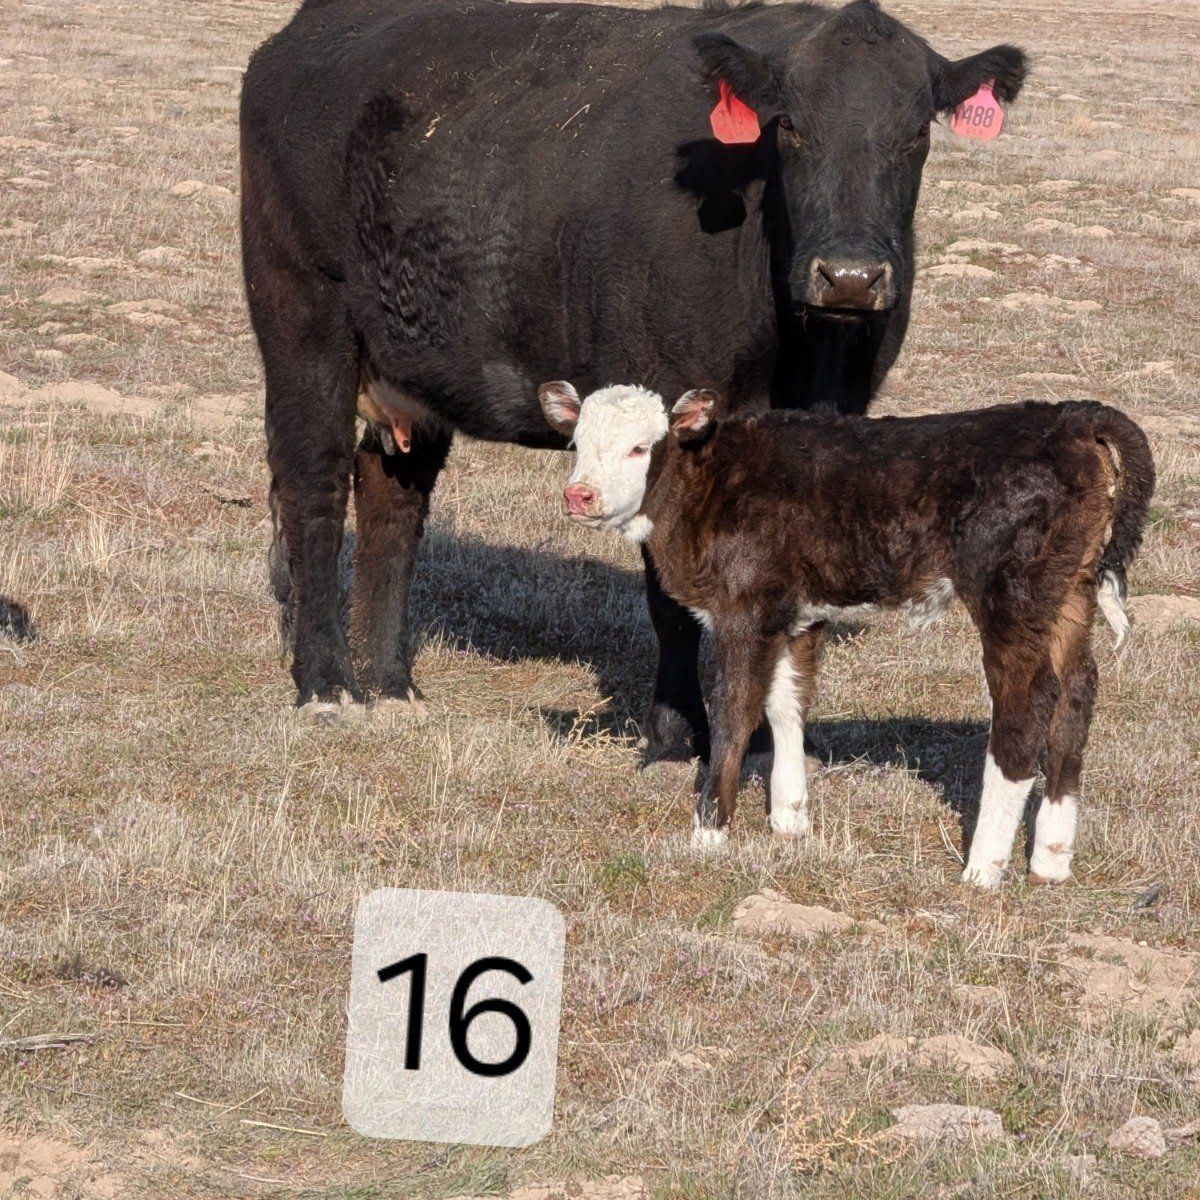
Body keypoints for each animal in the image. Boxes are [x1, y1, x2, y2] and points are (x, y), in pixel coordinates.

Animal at [240, 0, 1027, 755]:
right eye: (791, 129)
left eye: (916, 133)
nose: (851, 277)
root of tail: (309, 29)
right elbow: (669, 595)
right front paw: (678, 734)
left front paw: (768, 740)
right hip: (303, 323)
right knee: (313, 491)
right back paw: (327, 687)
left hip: (411, 364)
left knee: (392, 503)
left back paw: (392, 687)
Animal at [538, 381, 1154, 887]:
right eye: (577, 444)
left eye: (640, 448)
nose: (580, 496)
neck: (707, 484)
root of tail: (1072, 415)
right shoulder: (795, 611)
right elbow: (786, 701)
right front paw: (790, 818)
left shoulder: (745, 609)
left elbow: (735, 710)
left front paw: (709, 833)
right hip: (1069, 590)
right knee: (1077, 692)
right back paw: (1050, 859)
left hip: (1011, 593)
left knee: (1028, 705)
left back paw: (984, 867)